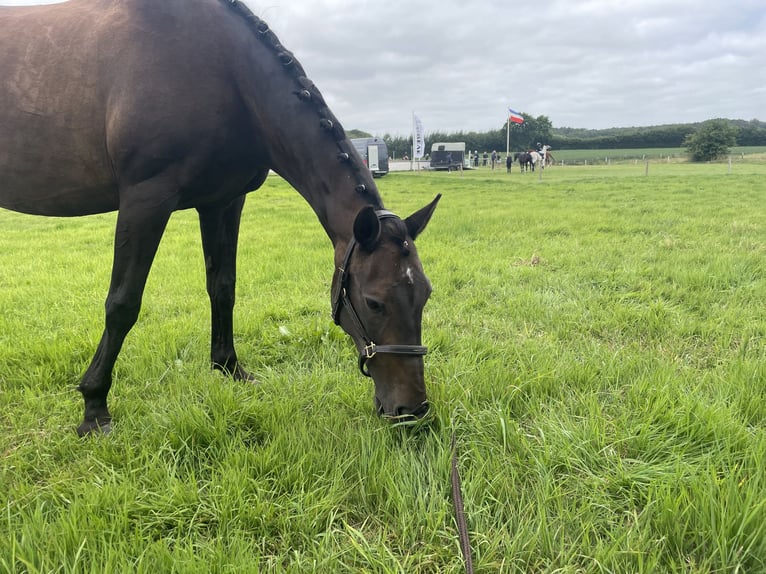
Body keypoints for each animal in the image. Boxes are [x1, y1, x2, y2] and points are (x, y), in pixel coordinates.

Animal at [0, 0, 440, 436]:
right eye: (373, 302)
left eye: (425, 294)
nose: (412, 409)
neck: (224, 72)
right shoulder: (146, 199)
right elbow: (123, 303)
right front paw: (94, 406)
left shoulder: (224, 202)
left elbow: (223, 286)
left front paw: (229, 368)